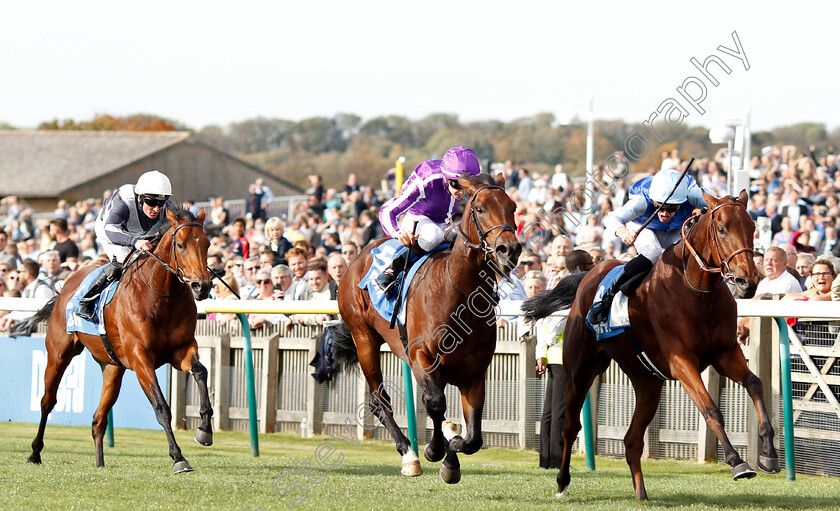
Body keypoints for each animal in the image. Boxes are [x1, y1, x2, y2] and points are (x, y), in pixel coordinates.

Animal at [28, 206, 215, 474]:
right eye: (180, 245)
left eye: (207, 244)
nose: (202, 286)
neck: (161, 297)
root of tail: (67, 284)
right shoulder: (141, 358)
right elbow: (162, 407)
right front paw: (178, 457)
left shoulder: (181, 350)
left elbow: (201, 371)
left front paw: (204, 431)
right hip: (58, 354)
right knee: (47, 401)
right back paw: (35, 452)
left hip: (112, 368)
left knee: (98, 419)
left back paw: (99, 463)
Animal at [334, 173, 520, 484]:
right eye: (479, 208)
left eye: (513, 207)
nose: (510, 249)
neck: (458, 295)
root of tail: (358, 257)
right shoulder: (421, 356)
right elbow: (433, 402)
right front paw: (435, 450)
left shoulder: (475, 374)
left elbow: (473, 438)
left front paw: (451, 457)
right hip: (364, 339)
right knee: (380, 401)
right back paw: (409, 455)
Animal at [524, 191, 780, 500]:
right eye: (721, 229)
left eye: (753, 228)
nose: (748, 281)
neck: (697, 291)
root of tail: (587, 277)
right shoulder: (681, 361)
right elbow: (711, 409)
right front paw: (737, 462)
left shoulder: (725, 353)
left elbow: (755, 384)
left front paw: (768, 454)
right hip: (580, 370)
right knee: (570, 427)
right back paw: (562, 483)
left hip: (647, 382)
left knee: (632, 439)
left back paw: (641, 493)